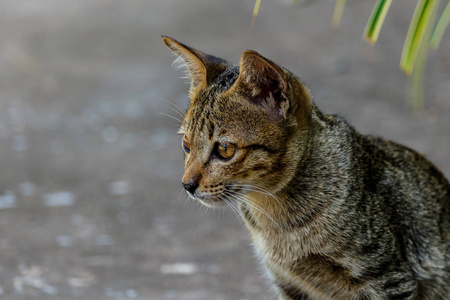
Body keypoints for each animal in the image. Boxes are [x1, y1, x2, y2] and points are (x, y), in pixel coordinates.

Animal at [162, 37, 450, 300]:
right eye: (186, 145)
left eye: (224, 149)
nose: (187, 184)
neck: (279, 223)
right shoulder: (288, 283)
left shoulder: (388, 279)